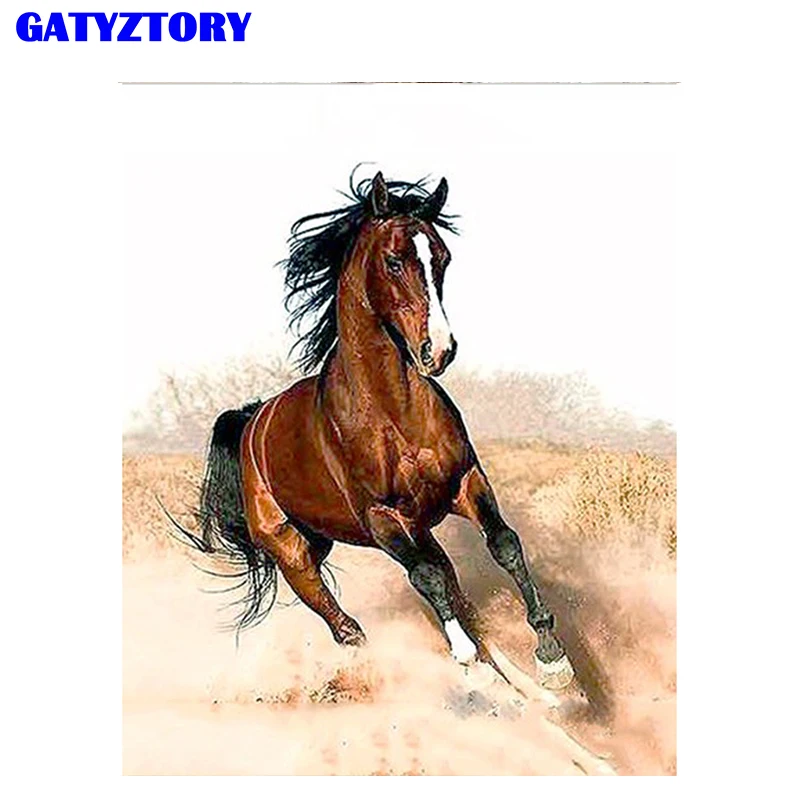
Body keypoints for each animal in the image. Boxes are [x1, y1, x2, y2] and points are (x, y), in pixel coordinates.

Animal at [171, 170, 574, 690]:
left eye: (442, 258)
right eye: (394, 260)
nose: (439, 350)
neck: (392, 412)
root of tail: (252, 421)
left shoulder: (464, 483)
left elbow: (503, 545)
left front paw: (552, 658)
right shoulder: (381, 517)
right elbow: (426, 577)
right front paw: (468, 660)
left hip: (392, 530)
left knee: (447, 584)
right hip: (293, 552)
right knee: (346, 625)